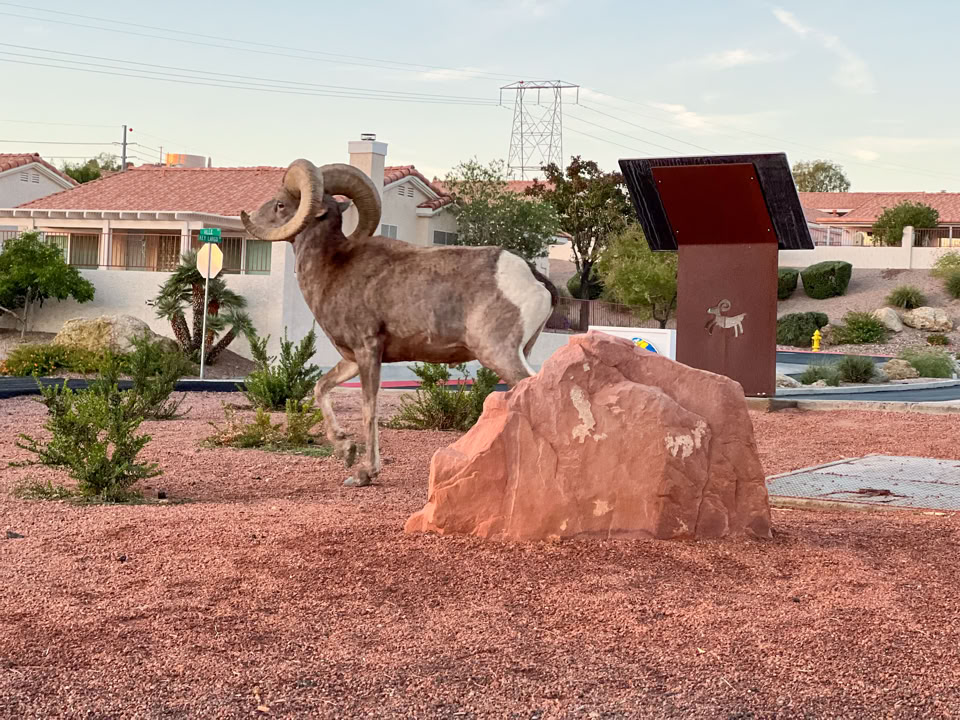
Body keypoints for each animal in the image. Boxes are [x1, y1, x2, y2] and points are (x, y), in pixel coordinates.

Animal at [241, 159, 559, 487]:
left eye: (280, 204)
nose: (246, 217)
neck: (333, 268)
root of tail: (535, 279)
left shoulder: (368, 351)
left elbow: (369, 409)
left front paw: (364, 474)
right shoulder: (352, 359)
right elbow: (320, 388)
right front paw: (346, 451)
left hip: (499, 354)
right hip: (519, 352)